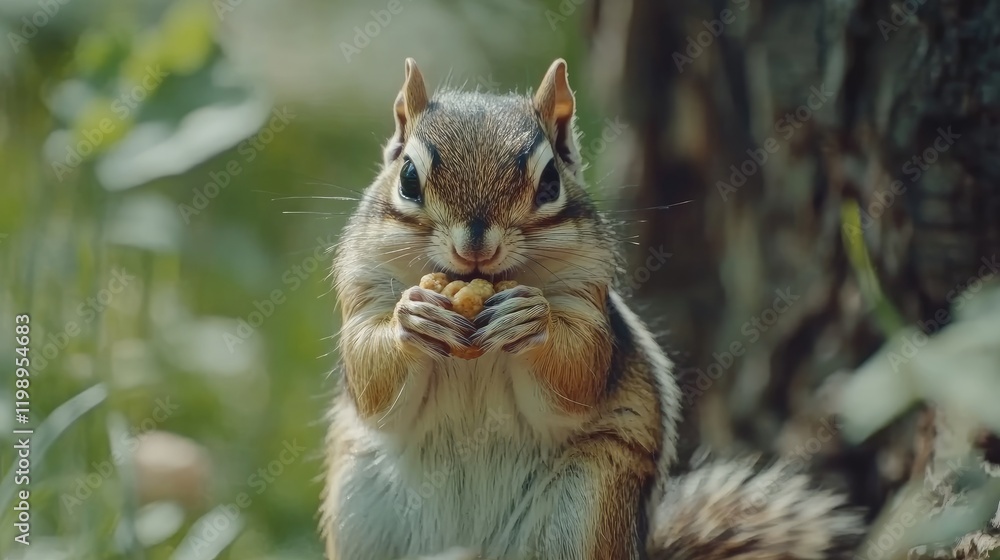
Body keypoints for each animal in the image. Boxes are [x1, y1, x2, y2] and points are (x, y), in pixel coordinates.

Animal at [319, 58, 864, 560]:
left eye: (549, 183)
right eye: (409, 178)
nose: (476, 247)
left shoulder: (587, 297)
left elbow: (578, 371)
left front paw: (530, 318)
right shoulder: (363, 290)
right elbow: (372, 379)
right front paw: (415, 316)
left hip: (590, 497)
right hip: (360, 505)